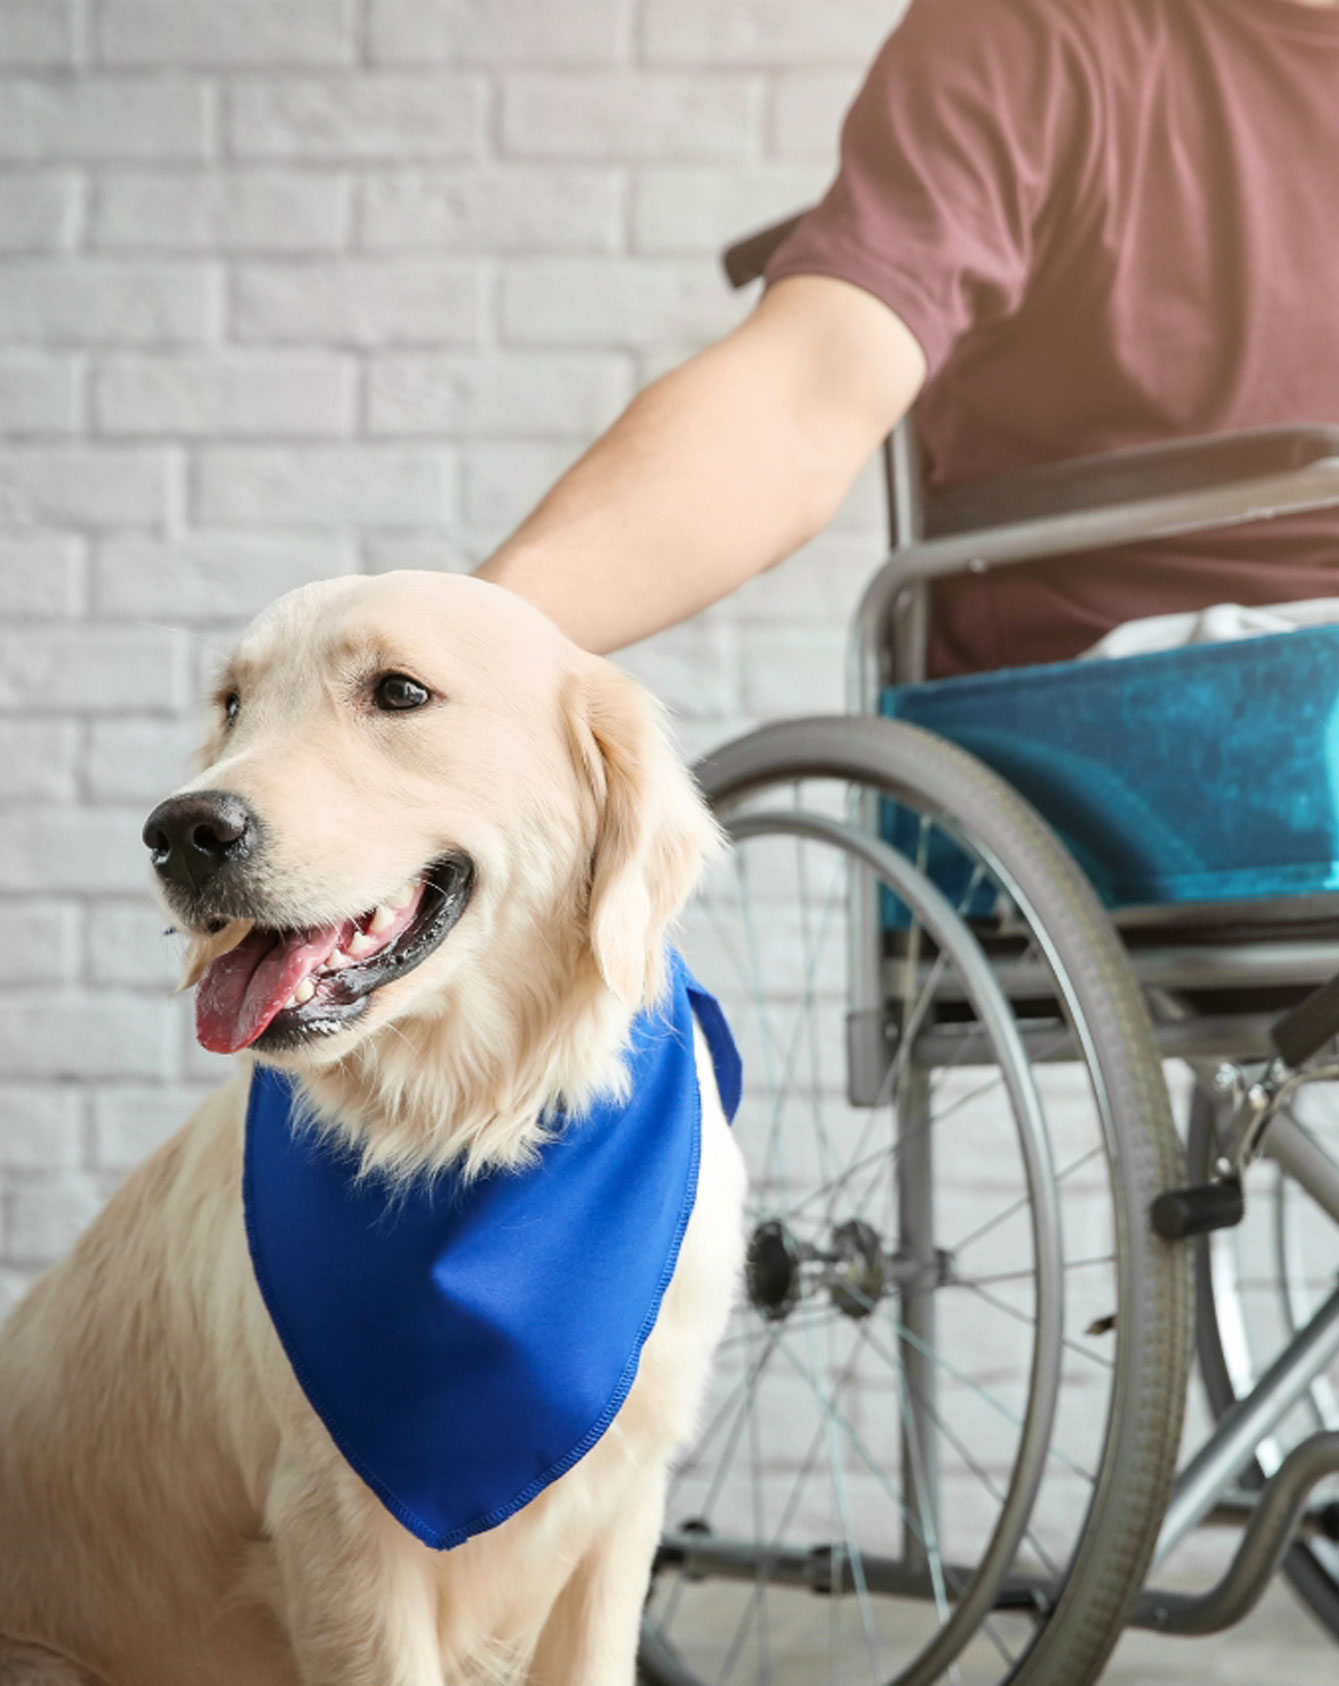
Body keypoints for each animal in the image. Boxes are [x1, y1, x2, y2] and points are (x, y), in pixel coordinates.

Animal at [0, 573, 745, 1679]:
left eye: (398, 692)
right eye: (232, 704)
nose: (180, 831)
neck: (461, 1130)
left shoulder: (620, 1506)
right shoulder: (341, 1536)